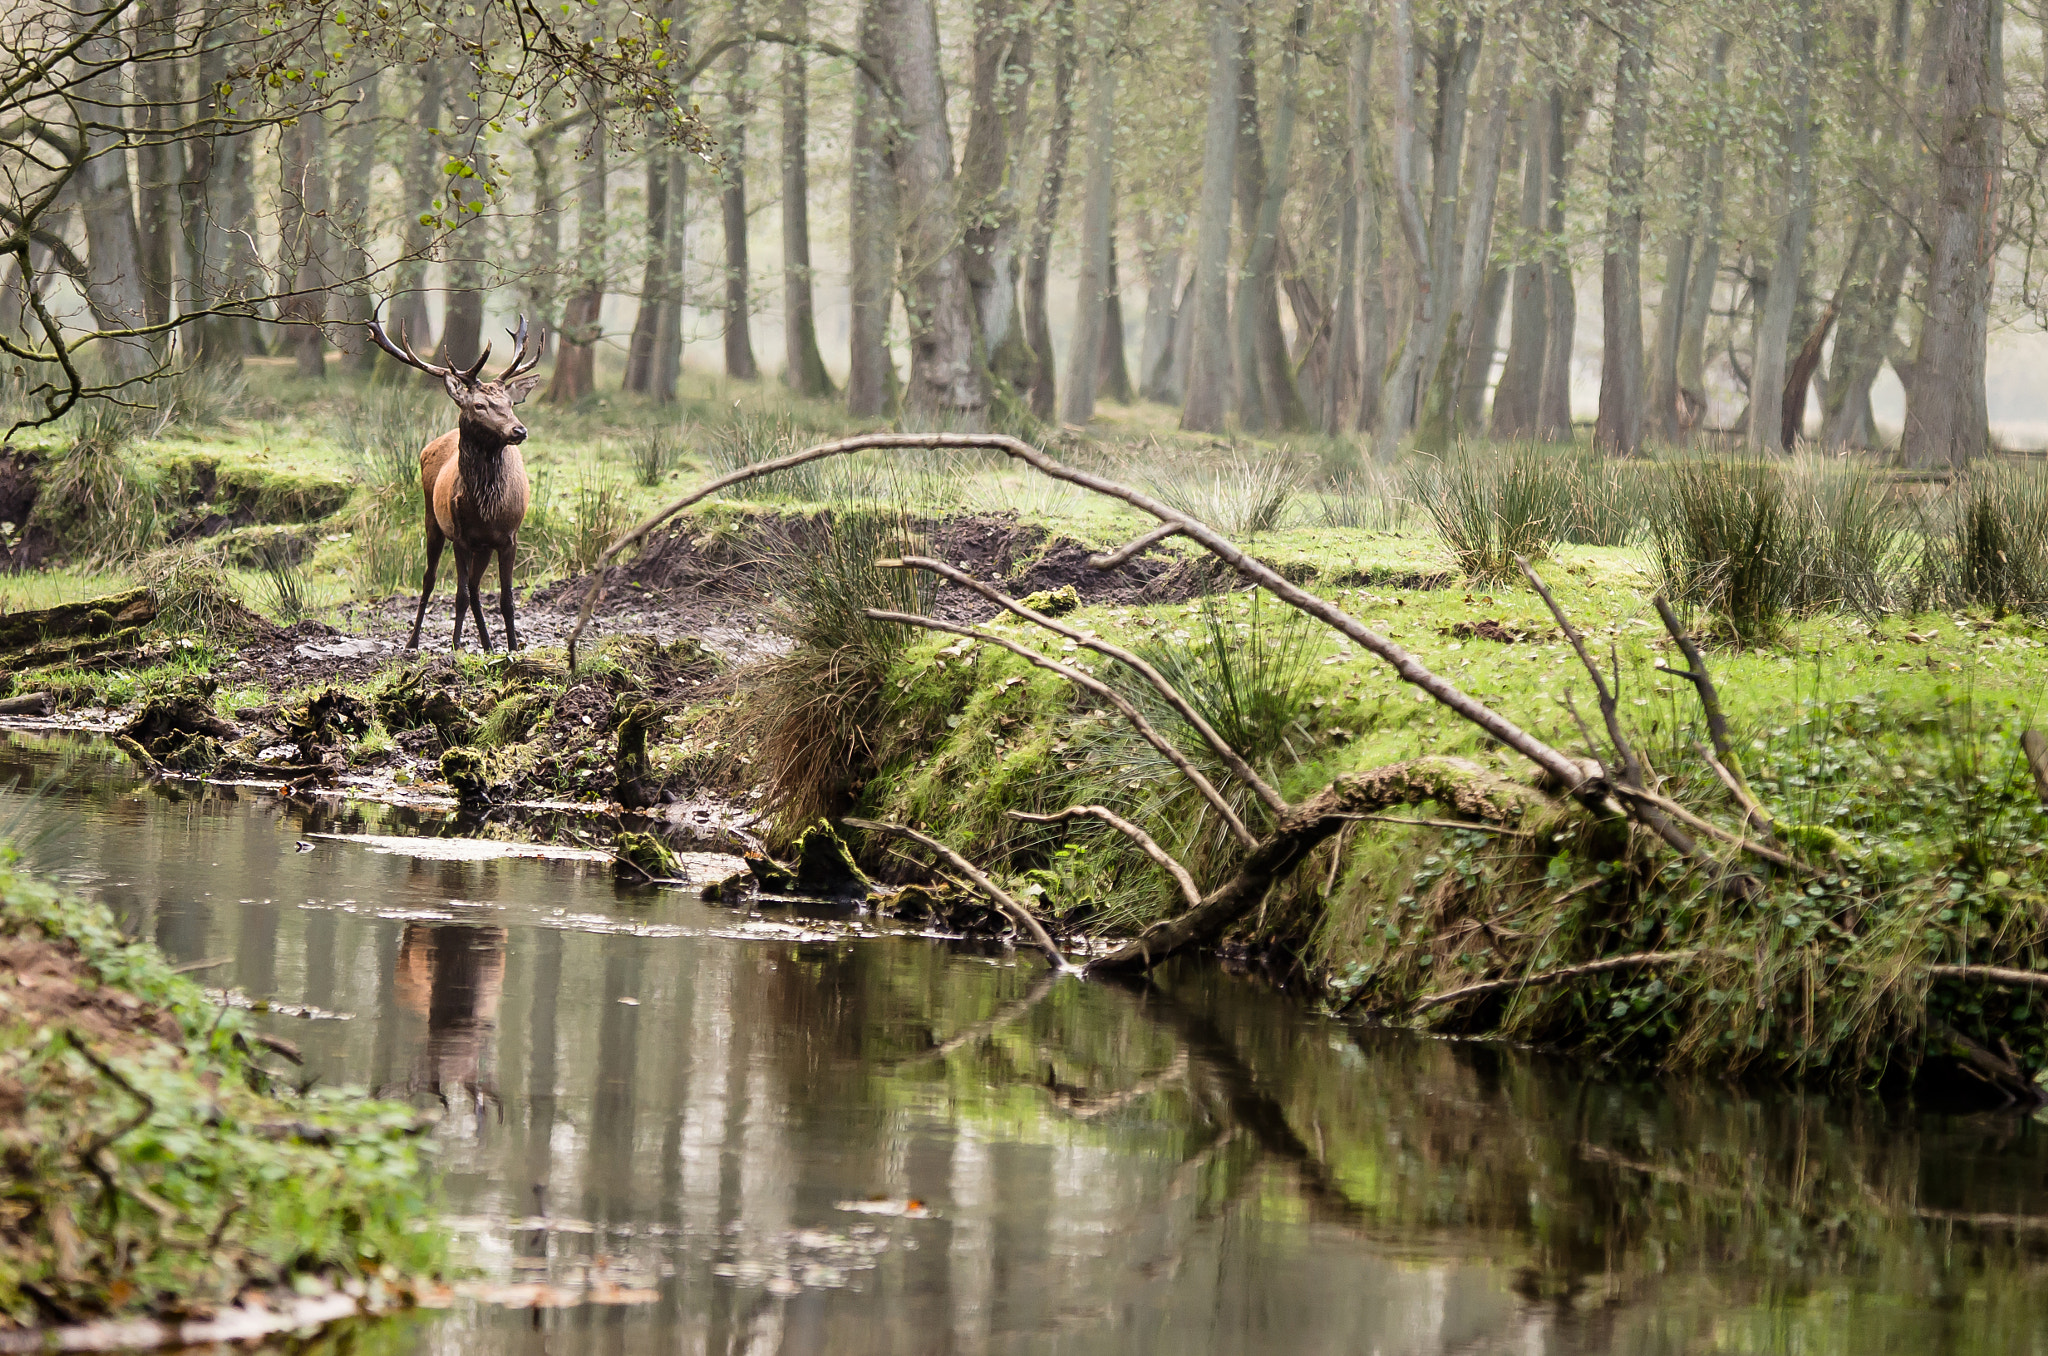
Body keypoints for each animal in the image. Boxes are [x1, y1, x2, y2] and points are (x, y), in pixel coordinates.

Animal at [366, 313, 545, 653]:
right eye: (479, 405)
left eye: (510, 404)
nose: (519, 430)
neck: (486, 509)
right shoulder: (461, 536)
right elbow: (458, 595)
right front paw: (456, 644)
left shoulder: (509, 537)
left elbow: (506, 599)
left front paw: (513, 647)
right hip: (432, 520)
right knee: (431, 579)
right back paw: (414, 641)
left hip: (482, 546)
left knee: (475, 587)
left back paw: (487, 645)